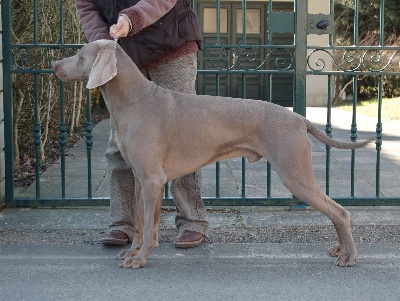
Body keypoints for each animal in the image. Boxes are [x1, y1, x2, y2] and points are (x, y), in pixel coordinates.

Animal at [51, 39, 370, 268]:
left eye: (79, 55)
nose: (54, 64)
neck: (134, 101)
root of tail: (299, 118)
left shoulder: (153, 180)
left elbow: (149, 226)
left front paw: (139, 259)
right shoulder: (142, 180)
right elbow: (142, 225)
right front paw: (132, 253)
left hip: (295, 173)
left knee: (340, 212)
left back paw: (349, 256)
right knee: (335, 211)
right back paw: (340, 250)